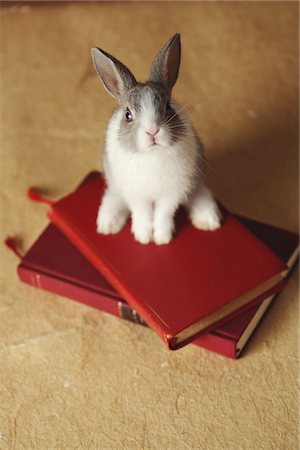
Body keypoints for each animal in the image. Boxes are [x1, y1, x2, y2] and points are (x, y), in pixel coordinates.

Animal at [90, 33, 221, 244]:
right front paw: (143, 237)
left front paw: (161, 238)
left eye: (168, 106)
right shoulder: (137, 195)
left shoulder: (171, 192)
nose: (152, 131)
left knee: (197, 190)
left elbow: (163, 213)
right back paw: (108, 224)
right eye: (128, 114)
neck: (152, 154)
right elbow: (142, 213)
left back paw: (208, 219)